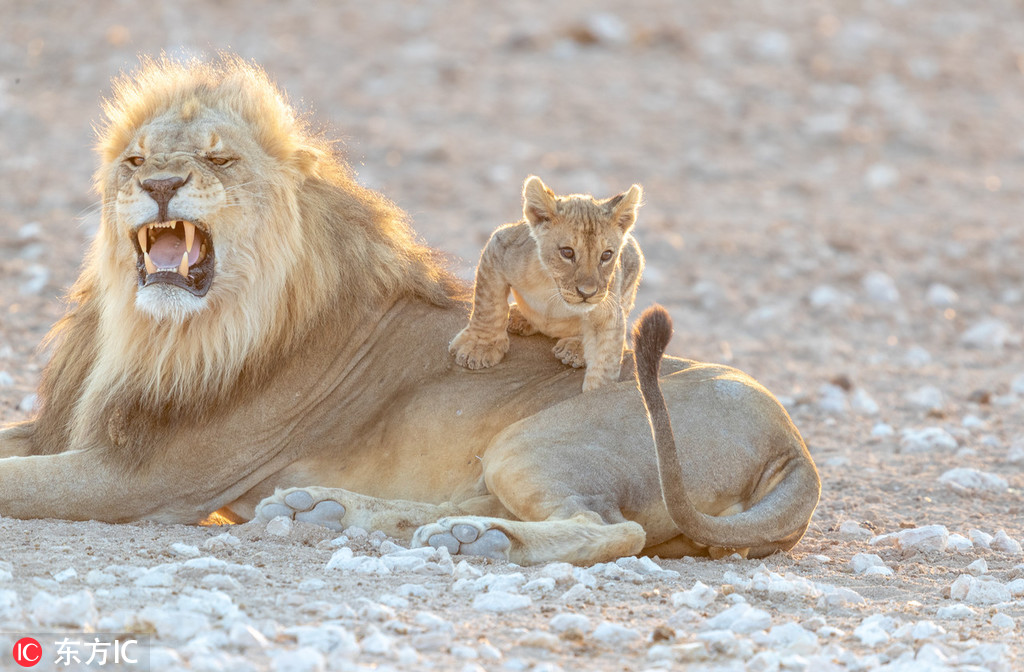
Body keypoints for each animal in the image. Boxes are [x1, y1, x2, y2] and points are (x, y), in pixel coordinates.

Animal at [0, 57, 819, 565]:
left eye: (219, 159)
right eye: (135, 161)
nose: (161, 185)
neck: (155, 328)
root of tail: (796, 447)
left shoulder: (145, 477)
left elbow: (16, 482)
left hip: (542, 438)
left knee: (608, 531)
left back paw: (479, 543)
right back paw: (333, 513)